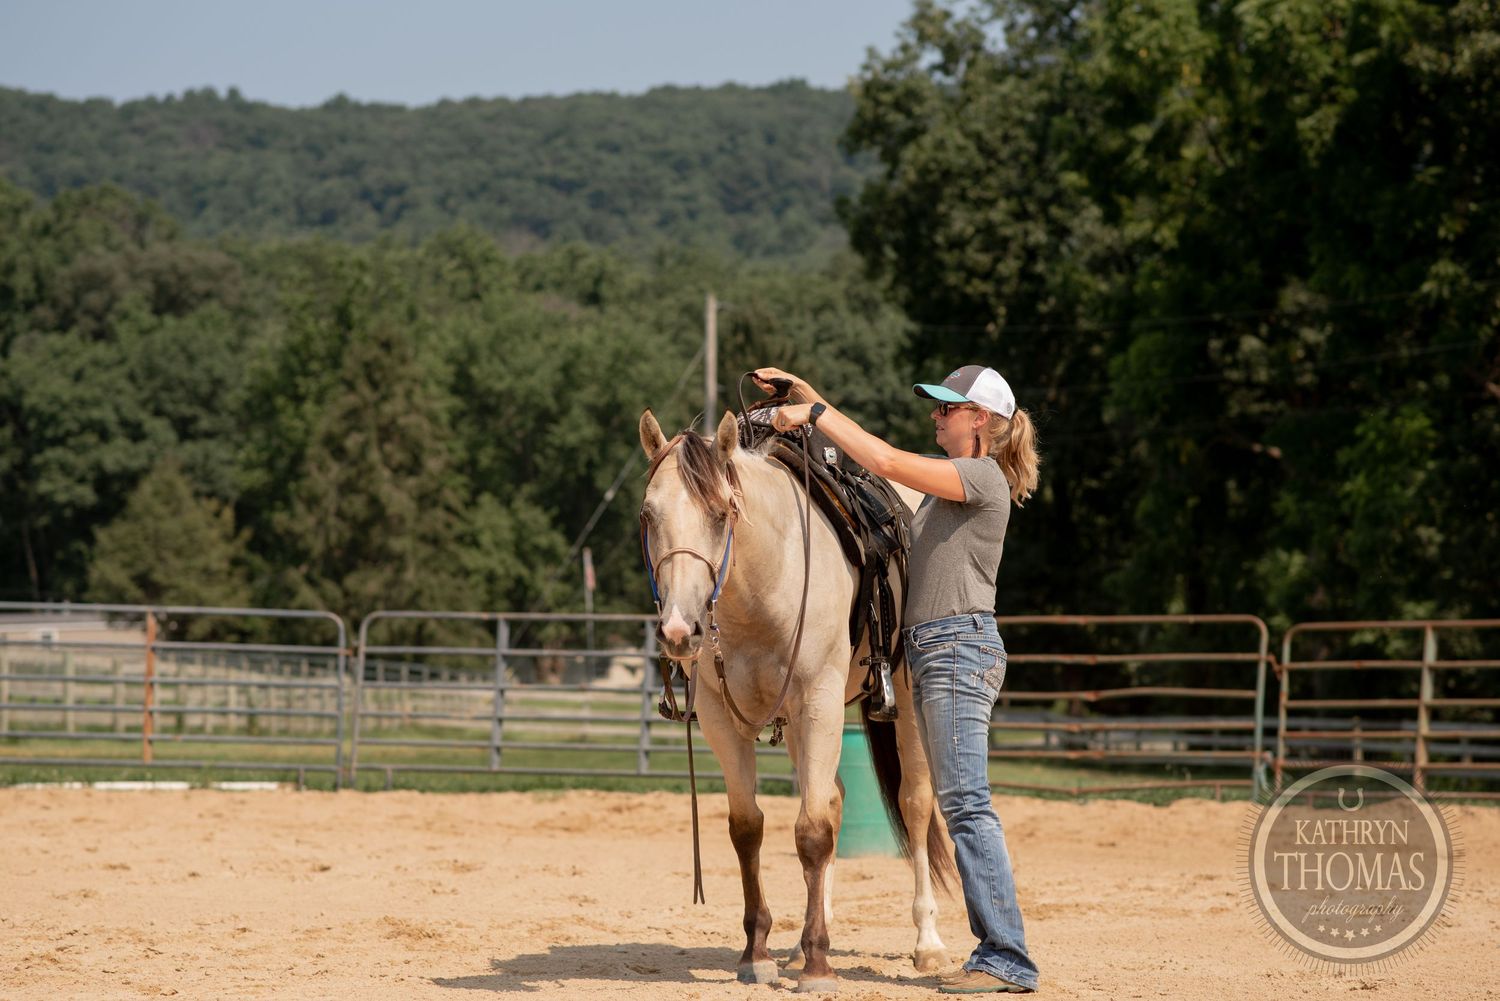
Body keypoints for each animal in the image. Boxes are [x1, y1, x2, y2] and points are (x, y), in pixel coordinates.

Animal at [638, 408, 956, 992]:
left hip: (904, 700)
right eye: (649, 515)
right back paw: (810, 932)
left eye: (722, 513)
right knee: (832, 799)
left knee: (915, 804)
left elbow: (811, 832)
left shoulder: (820, 703)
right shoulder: (722, 719)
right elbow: (749, 828)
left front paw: (818, 966)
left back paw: (927, 942)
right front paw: (758, 954)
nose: (678, 630)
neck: (761, 588)